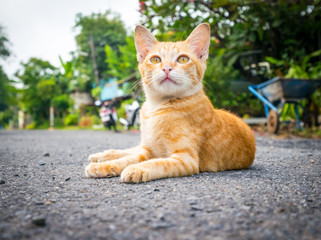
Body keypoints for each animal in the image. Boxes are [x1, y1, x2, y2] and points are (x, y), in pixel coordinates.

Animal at [85, 23, 255, 183]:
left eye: (183, 59)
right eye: (155, 59)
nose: (167, 68)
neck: (156, 107)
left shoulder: (185, 160)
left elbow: (157, 163)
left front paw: (136, 168)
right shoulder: (147, 151)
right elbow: (127, 159)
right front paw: (104, 166)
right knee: (131, 150)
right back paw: (102, 155)